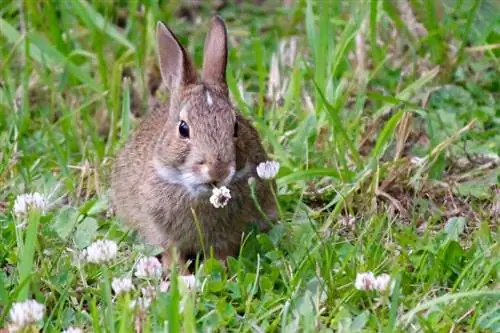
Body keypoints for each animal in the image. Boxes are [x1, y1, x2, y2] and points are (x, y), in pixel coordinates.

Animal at [110, 15, 280, 274]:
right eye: (183, 129)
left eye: (235, 127)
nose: (218, 170)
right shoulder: (162, 232)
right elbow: (172, 252)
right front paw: (178, 274)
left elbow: (221, 253)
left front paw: (219, 270)